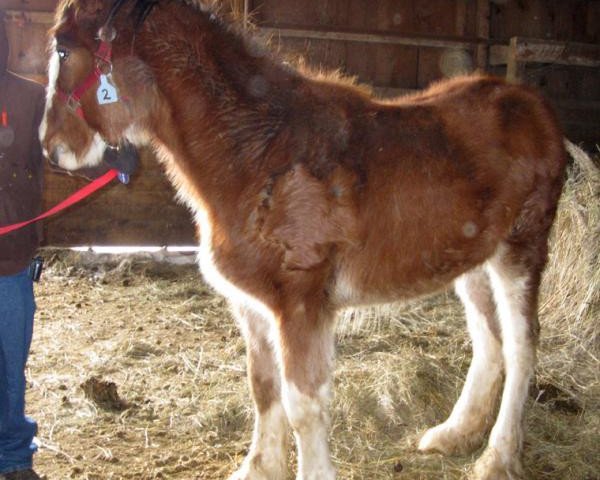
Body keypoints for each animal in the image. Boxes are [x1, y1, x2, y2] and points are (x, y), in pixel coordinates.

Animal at [41, 1, 568, 478]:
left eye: (64, 51)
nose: (51, 148)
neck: (257, 152)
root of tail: (535, 106)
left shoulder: (300, 302)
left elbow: (304, 406)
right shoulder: (254, 304)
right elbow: (263, 387)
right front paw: (258, 468)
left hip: (520, 252)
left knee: (521, 347)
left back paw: (497, 458)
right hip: (473, 261)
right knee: (489, 342)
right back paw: (455, 434)